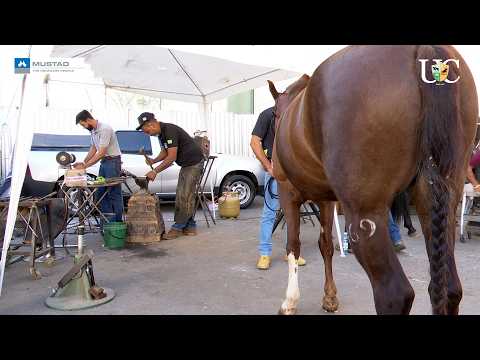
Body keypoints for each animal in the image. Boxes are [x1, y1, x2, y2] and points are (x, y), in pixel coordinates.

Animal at [268, 45, 478, 316]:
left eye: (274, 113)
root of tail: (423, 50)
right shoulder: (326, 200)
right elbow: (326, 245)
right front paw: (330, 297)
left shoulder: (288, 193)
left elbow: (293, 246)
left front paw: (290, 301)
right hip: (438, 206)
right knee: (449, 288)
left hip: (365, 216)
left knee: (394, 294)